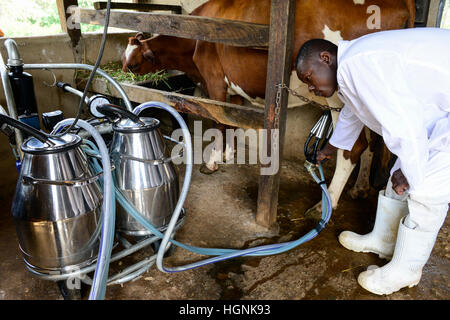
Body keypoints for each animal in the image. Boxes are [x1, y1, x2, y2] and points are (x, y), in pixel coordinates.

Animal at [122, 0, 414, 218]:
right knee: (374, 142)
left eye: (133, 64)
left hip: (341, 97)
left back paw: (326, 201)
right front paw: (229, 153)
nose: (122, 74)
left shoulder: (215, 81)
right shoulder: (233, 90)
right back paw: (361, 188)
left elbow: (218, 120)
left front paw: (213, 161)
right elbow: (231, 121)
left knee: (353, 148)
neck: (198, 33)